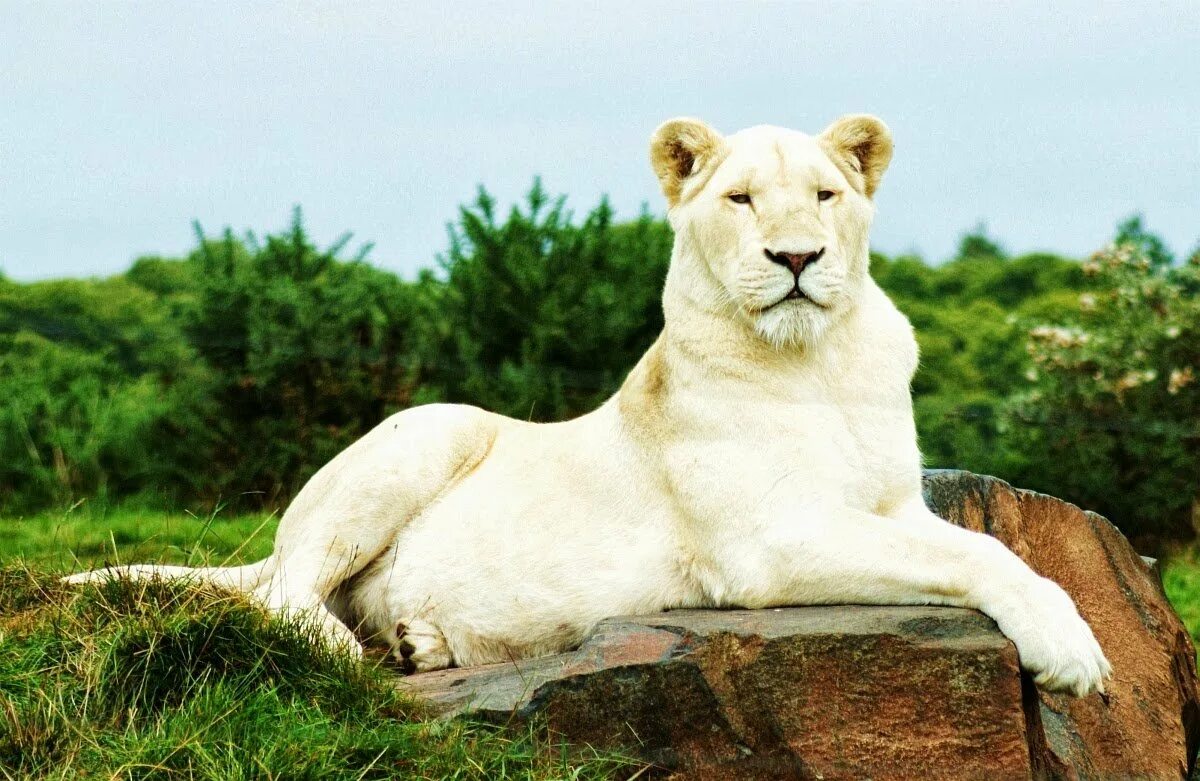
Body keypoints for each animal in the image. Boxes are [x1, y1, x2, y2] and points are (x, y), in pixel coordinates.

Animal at [68, 114, 1113, 695]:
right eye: (741, 199)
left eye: (824, 194)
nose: (797, 258)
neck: (814, 360)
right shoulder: (767, 543)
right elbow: (976, 554)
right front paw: (1077, 658)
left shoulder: (892, 502)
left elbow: (983, 546)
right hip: (429, 429)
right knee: (286, 592)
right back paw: (354, 648)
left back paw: (417, 638)